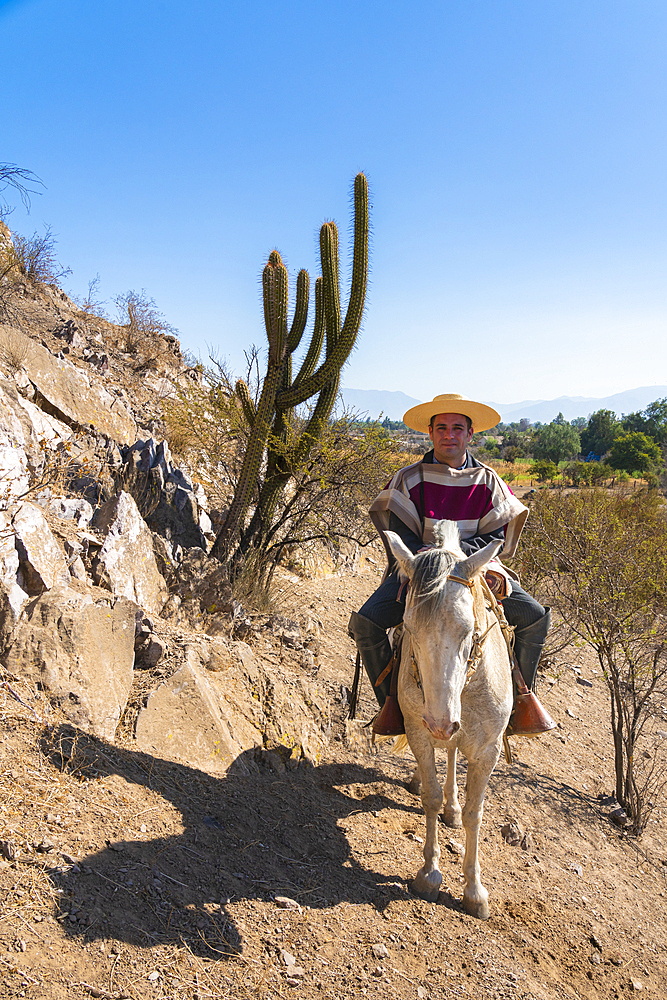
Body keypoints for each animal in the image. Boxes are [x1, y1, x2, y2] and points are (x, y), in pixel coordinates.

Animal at [386, 520, 512, 916]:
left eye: (468, 628)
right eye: (408, 627)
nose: (441, 723)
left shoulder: (487, 751)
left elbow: (475, 813)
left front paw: (475, 891)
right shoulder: (418, 732)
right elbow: (430, 797)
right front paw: (429, 874)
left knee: (455, 752)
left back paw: (454, 807)